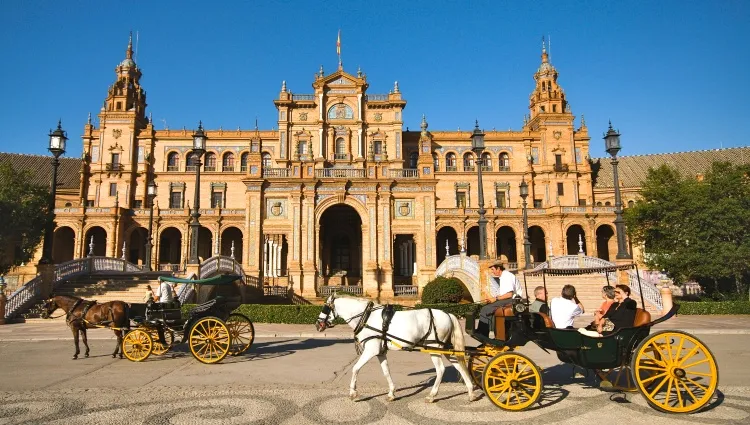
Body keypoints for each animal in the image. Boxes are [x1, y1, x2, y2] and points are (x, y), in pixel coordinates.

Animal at [318, 294, 476, 402]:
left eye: (325, 307)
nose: (318, 324)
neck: (366, 317)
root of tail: (448, 314)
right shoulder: (380, 352)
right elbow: (386, 372)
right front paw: (391, 393)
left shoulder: (370, 350)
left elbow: (355, 368)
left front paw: (353, 393)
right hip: (446, 348)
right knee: (459, 366)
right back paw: (470, 392)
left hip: (434, 348)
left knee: (441, 369)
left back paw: (432, 395)